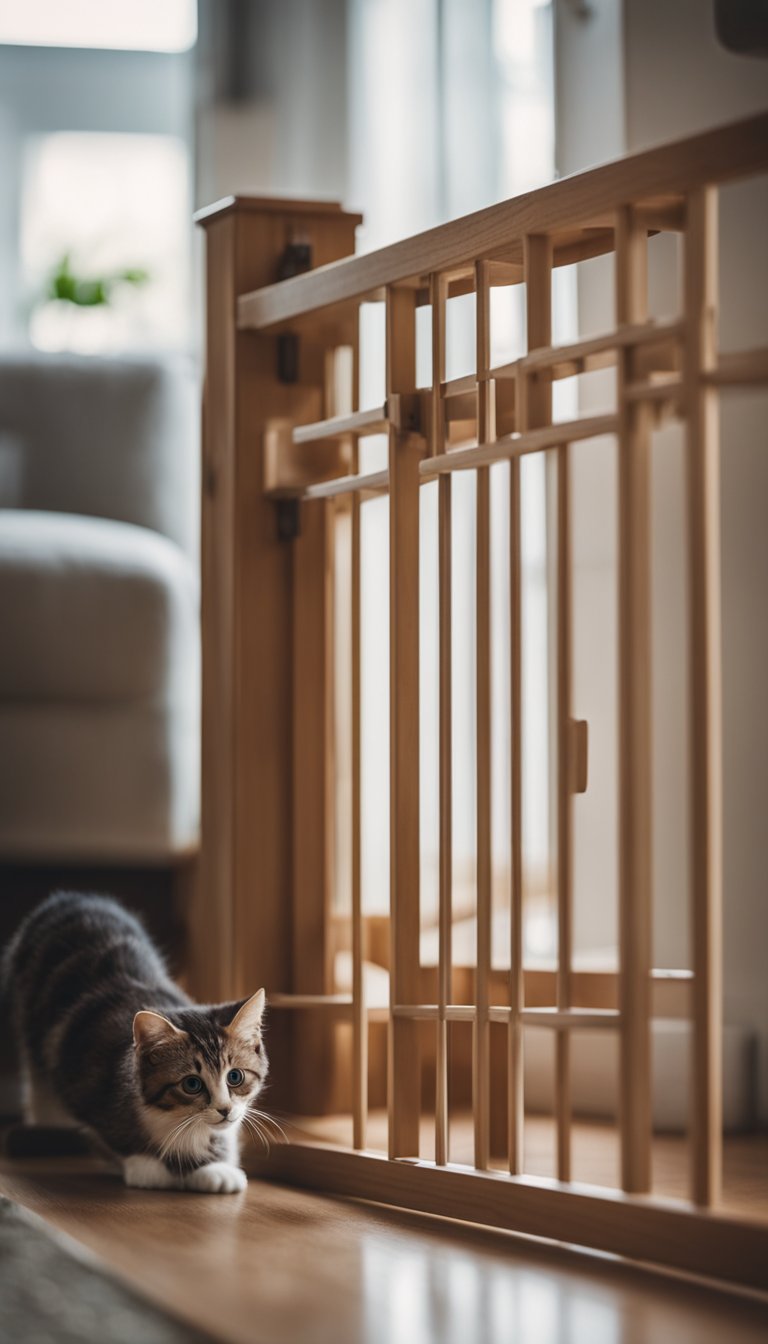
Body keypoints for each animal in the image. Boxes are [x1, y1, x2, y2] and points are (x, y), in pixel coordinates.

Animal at [2, 892, 270, 1198]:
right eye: (192, 1084)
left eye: (235, 1077)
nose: (224, 1109)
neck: (176, 1118)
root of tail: (71, 896)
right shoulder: (80, 1075)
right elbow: (107, 1131)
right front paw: (145, 1163)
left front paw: (215, 1165)